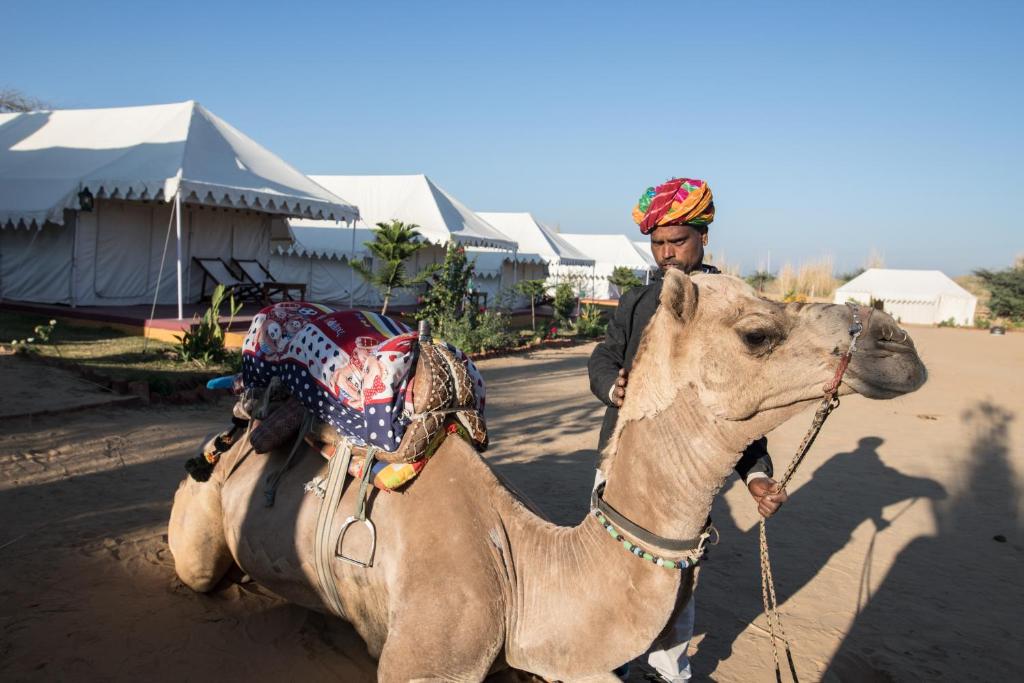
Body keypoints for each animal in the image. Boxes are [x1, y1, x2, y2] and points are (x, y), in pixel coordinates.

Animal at [167, 270, 929, 679]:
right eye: (758, 333)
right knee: (201, 565)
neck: (527, 574)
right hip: (203, 520)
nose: (899, 341)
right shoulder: (430, 657)